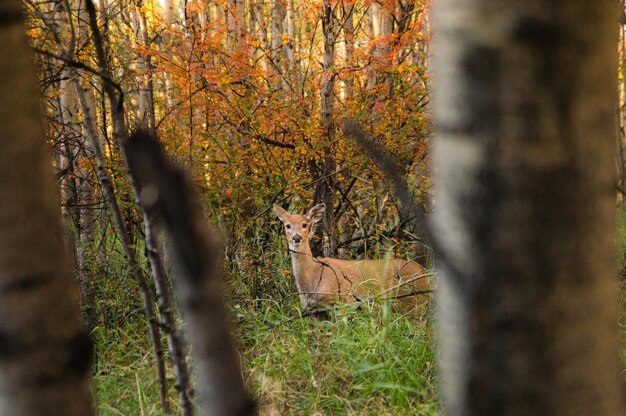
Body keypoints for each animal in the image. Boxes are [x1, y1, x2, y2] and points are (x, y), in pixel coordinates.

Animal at [272, 202, 428, 316]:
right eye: (287, 225)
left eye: (305, 224)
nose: (296, 237)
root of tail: (424, 273)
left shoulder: (344, 301)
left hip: (415, 302)